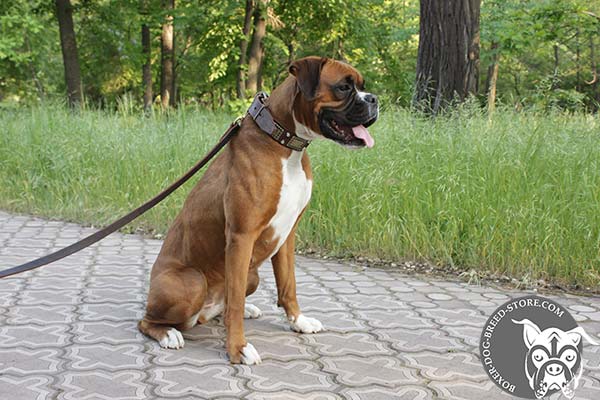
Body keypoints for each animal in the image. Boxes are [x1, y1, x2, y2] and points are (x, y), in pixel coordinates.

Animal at [138, 57, 378, 366]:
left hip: (252, 275)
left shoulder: (287, 235)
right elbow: (235, 304)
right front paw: (238, 348)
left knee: (226, 303)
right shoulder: (241, 236)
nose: (374, 99)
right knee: (147, 321)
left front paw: (298, 321)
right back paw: (168, 333)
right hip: (192, 282)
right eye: (344, 87)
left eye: (361, 86)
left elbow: (288, 285)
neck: (283, 143)